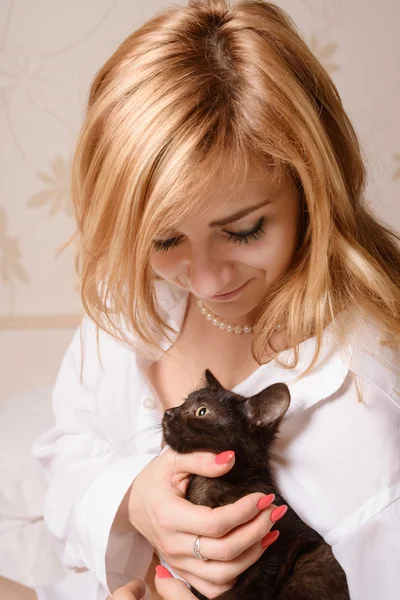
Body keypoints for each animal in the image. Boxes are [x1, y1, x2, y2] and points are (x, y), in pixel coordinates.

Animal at [161, 368, 348, 596]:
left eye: (202, 411)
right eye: (184, 402)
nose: (168, 412)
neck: (211, 484)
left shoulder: (276, 550)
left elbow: (249, 588)